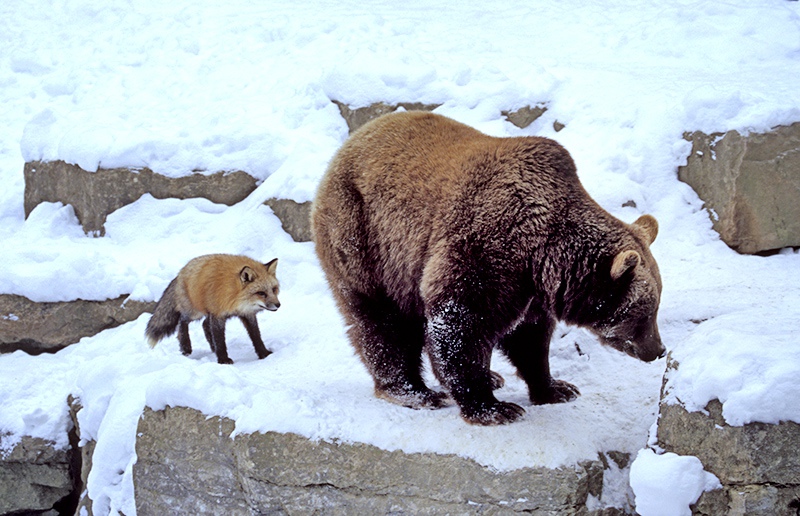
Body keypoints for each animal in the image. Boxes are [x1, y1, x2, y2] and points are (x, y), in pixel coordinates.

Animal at [146, 253, 282, 362]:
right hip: (194, 312)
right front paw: (223, 360)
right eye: (261, 293)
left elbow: (256, 336)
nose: (278, 305)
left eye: (274, 289)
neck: (235, 297)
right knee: (182, 321)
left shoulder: (247, 314)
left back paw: (212, 348)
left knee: (205, 325)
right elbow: (220, 340)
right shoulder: (218, 315)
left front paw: (264, 354)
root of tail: (181, 271)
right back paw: (186, 346)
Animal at [310, 111, 664, 426]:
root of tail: (351, 141)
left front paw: (556, 388)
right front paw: (494, 409)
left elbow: (529, 337)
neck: (542, 251)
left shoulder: (531, 287)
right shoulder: (486, 248)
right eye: (644, 313)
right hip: (365, 236)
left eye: (655, 306)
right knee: (382, 321)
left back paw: (490, 377)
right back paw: (414, 392)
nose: (658, 350)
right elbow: (461, 324)